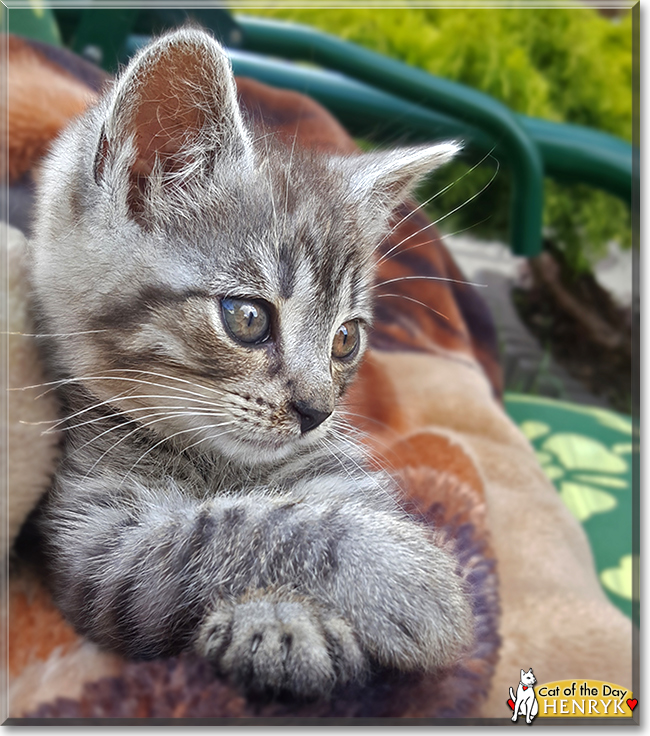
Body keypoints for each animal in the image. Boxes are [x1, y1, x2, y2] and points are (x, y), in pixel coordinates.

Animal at [27, 27, 470, 696]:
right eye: (248, 318)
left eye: (347, 339)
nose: (316, 411)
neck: (221, 462)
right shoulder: (97, 543)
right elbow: (235, 527)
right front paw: (400, 578)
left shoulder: (338, 469)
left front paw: (284, 620)